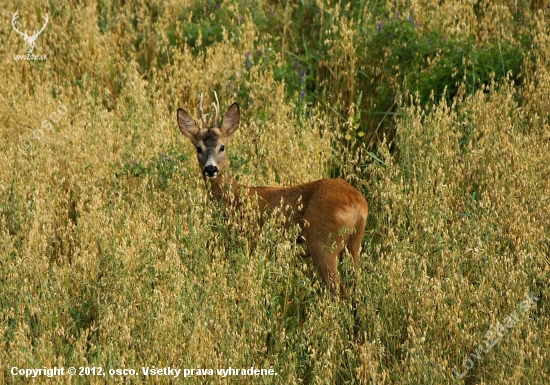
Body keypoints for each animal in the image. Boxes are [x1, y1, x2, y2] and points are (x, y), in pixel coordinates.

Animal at [179, 92, 370, 296]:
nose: (211, 168)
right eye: (198, 148)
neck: (235, 197)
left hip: (323, 243)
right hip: (353, 244)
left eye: (222, 147)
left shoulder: (246, 240)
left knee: (340, 291)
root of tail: (357, 202)